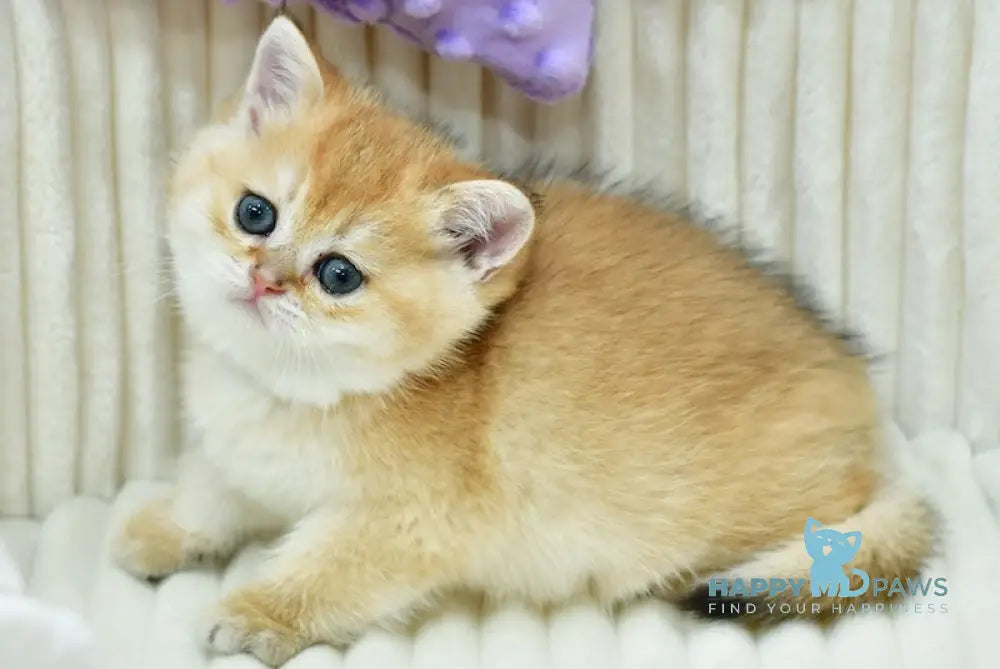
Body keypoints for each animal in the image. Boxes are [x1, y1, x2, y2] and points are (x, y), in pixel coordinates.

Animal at [115, 17, 936, 668]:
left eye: (339, 274)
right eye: (255, 213)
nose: (266, 279)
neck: (293, 392)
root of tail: (864, 403)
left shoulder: (409, 524)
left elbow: (328, 571)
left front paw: (257, 612)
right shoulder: (241, 455)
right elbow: (212, 489)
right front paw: (165, 528)